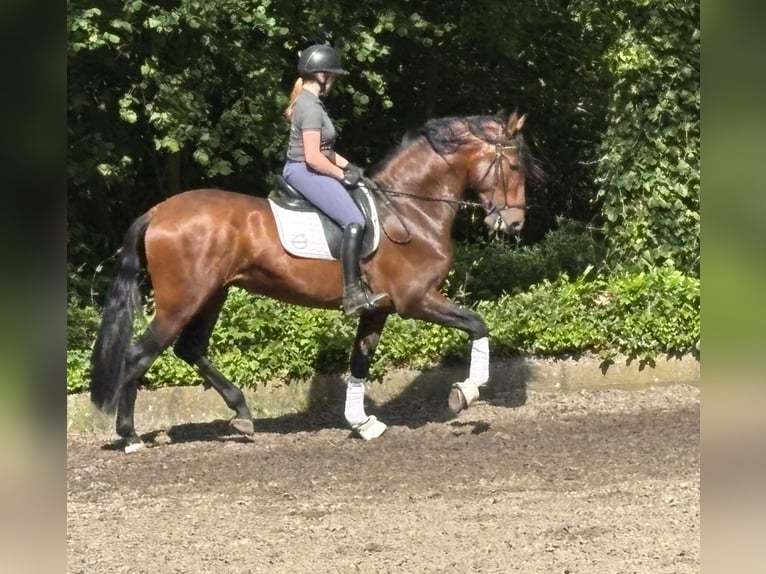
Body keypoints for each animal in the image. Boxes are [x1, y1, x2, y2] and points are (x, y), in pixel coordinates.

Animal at [90, 111, 544, 451]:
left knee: (189, 349)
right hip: (182, 299)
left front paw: (362, 422)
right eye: (514, 166)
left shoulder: (379, 309)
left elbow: (360, 362)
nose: (514, 224)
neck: (410, 210)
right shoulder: (416, 299)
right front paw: (466, 392)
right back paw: (130, 436)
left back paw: (242, 414)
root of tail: (158, 212)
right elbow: (477, 324)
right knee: (139, 354)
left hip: (213, 294)